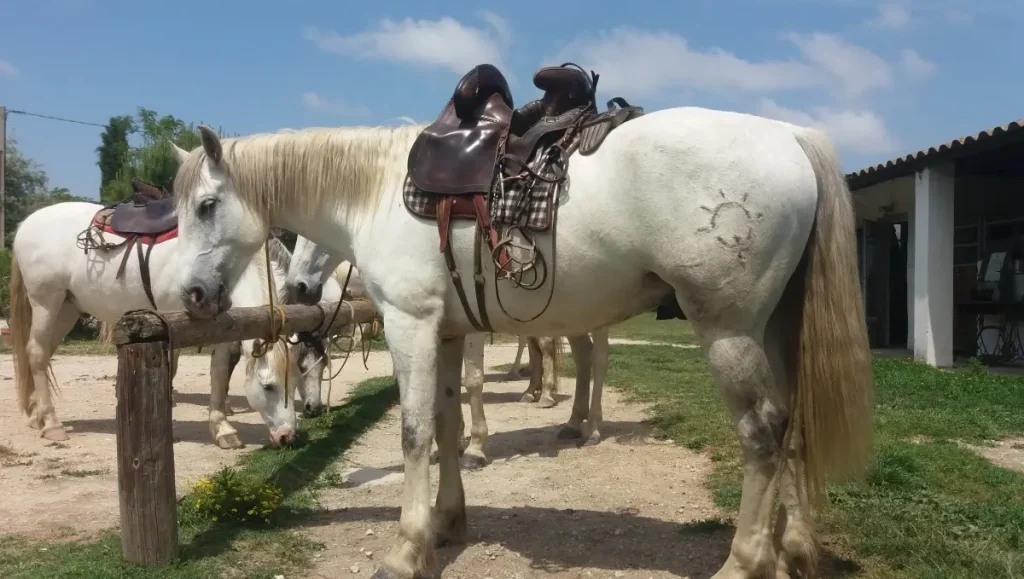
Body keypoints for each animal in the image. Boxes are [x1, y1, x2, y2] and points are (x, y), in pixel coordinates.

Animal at [9, 200, 331, 448]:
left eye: (297, 380)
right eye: (268, 387)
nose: (288, 437)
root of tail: (26, 224)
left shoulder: (227, 328)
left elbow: (219, 375)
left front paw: (222, 429)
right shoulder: (171, 323)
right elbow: (172, 370)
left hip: (66, 310)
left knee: (41, 356)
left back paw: (38, 416)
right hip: (46, 304)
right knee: (36, 353)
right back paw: (52, 424)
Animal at [282, 230, 606, 465]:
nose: (299, 287)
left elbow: (472, 381)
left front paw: (475, 448)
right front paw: (452, 443)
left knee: (594, 358)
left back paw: (587, 425)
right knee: (580, 355)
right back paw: (567, 418)